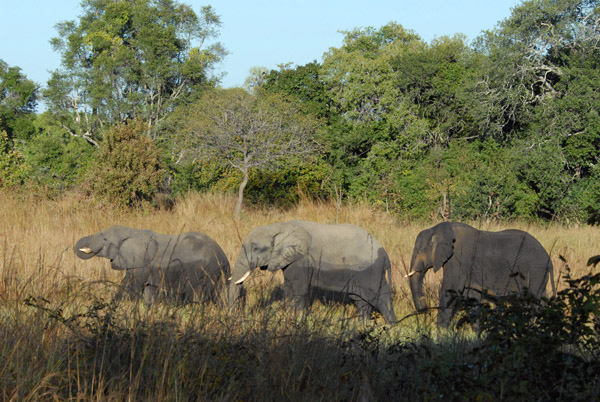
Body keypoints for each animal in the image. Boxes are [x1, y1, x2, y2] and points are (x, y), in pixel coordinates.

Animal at [73, 226, 232, 304]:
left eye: (105, 239)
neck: (133, 232)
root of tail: (224, 257)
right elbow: (148, 291)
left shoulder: (141, 265)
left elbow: (130, 287)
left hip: (205, 271)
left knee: (198, 295)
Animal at [227, 220, 396, 324]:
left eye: (256, 248)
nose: (234, 315)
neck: (279, 227)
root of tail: (386, 256)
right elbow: (288, 287)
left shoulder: (301, 260)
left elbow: (298, 290)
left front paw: (296, 319)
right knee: (361, 300)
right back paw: (363, 325)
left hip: (371, 271)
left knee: (380, 297)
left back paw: (391, 327)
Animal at [406, 221, 556, 328]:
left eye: (419, 252)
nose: (424, 305)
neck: (438, 229)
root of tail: (549, 260)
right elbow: (471, 296)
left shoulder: (458, 259)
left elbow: (449, 291)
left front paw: (441, 333)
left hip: (535, 271)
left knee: (533, 300)